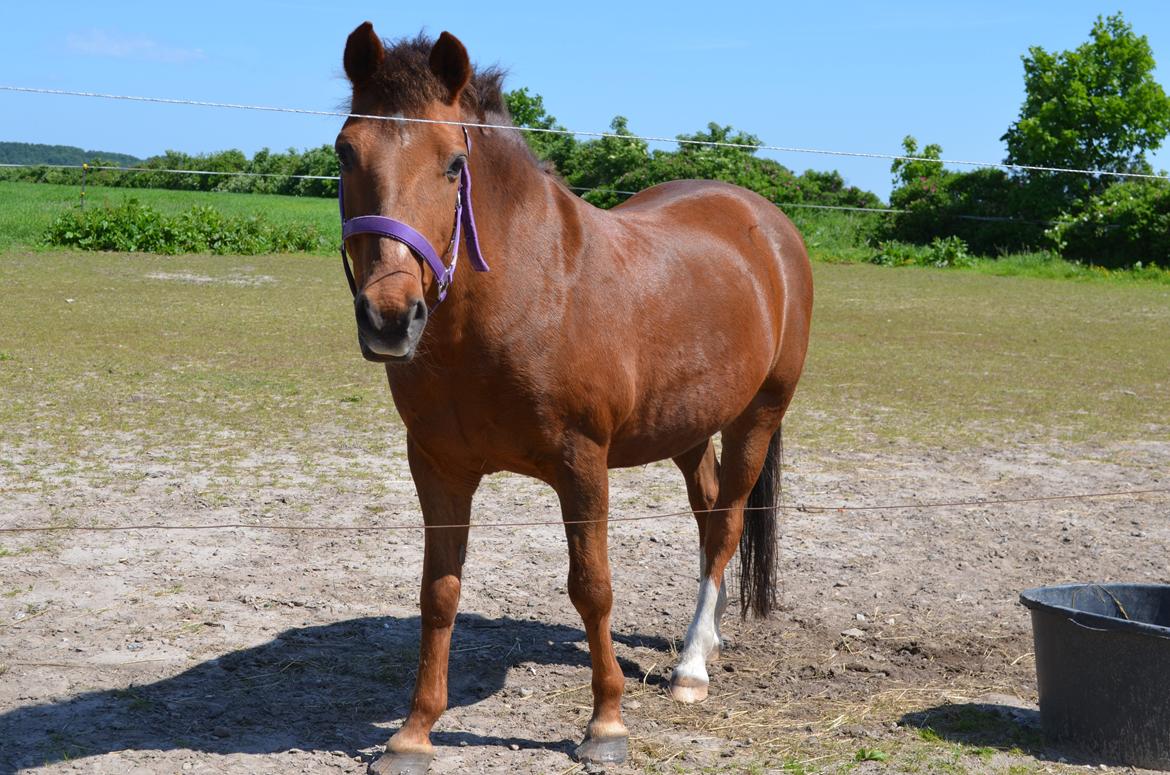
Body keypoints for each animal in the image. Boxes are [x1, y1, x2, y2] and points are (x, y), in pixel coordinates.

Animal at [336, 24, 814, 775]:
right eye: (345, 151)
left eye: (453, 165)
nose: (389, 317)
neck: (524, 293)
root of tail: (764, 220)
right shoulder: (438, 467)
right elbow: (438, 591)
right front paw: (413, 733)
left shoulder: (581, 464)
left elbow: (592, 588)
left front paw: (606, 725)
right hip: (687, 429)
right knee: (709, 515)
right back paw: (702, 641)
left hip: (758, 417)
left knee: (729, 522)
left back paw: (691, 669)